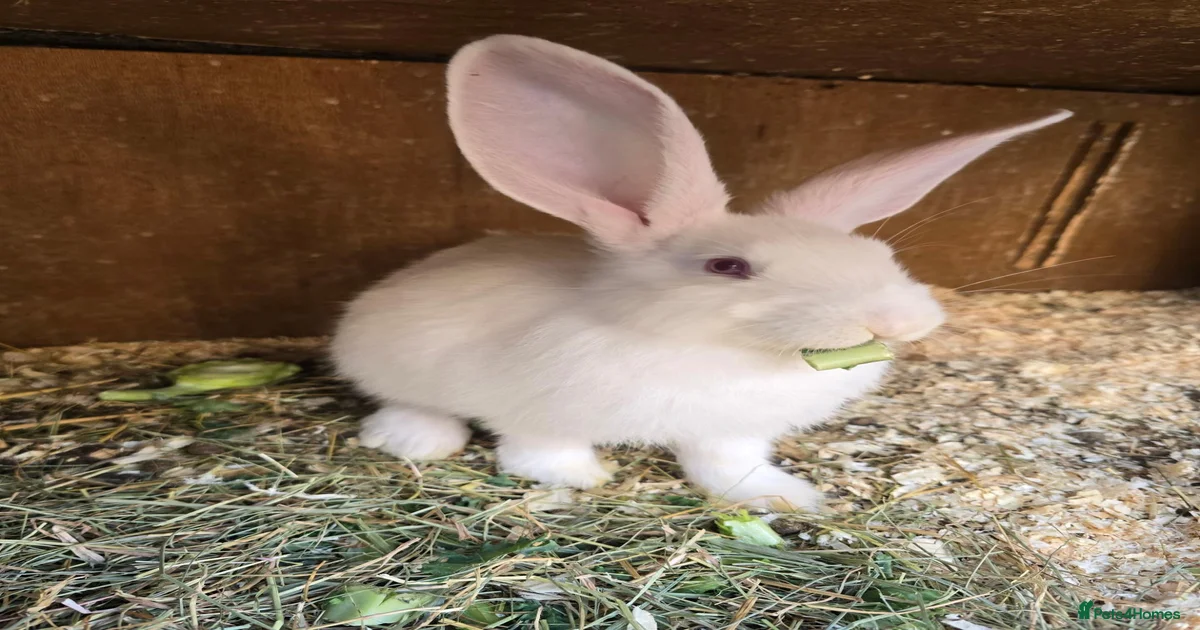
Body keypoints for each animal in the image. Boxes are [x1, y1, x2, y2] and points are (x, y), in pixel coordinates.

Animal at [331, 34, 1071, 512]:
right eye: (727, 267)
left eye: (881, 257)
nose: (897, 319)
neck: (721, 355)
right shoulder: (538, 414)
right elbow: (539, 454)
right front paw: (584, 480)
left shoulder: (729, 433)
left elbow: (726, 468)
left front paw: (791, 499)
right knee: (409, 403)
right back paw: (418, 440)